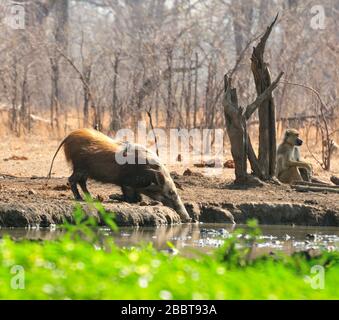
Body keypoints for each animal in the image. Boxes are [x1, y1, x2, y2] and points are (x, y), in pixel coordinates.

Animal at [46, 128, 193, 222]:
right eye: (171, 192)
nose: (188, 218)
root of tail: (69, 136)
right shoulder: (127, 183)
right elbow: (131, 198)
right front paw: (113, 196)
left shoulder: (129, 185)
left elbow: (136, 198)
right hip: (80, 168)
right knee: (71, 180)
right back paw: (80, 198)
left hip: (84, 171)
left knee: (81, 182)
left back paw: (90, 197)